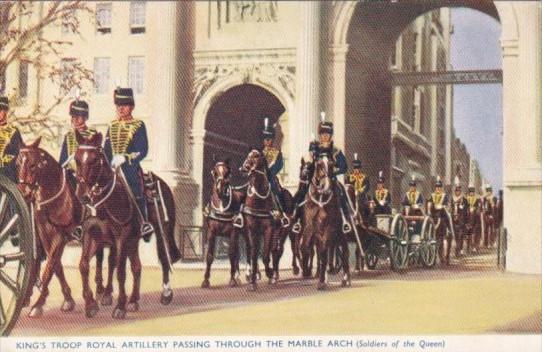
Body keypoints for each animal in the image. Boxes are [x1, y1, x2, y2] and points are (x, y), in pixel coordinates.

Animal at [15, 138, 79, 316]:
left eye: (33, 165)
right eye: (17, 163)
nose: (23, 192)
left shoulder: (61, 236)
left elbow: (50, 267)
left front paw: (38, 304)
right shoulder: (44, 234)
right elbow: (55, 265)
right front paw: (68, 299)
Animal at [203, 160, 245, 288]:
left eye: (227, 173)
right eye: (215, 172)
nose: (220, 189)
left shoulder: (233, 233)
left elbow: (231, 254)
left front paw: (232, 280)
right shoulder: (211, 233)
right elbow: (209, 256)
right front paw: (206, 280)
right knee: (238, 254)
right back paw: (238, 276)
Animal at [300, 156, 350, 288]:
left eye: (332, 164)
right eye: (318, 164)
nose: (326, 187)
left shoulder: (328, 228)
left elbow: (323, 253)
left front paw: (322, 280)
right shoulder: (311, 228)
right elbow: (306, 247)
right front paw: (309, 272)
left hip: (342, 235)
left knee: (344, 253)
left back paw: (346, 279)